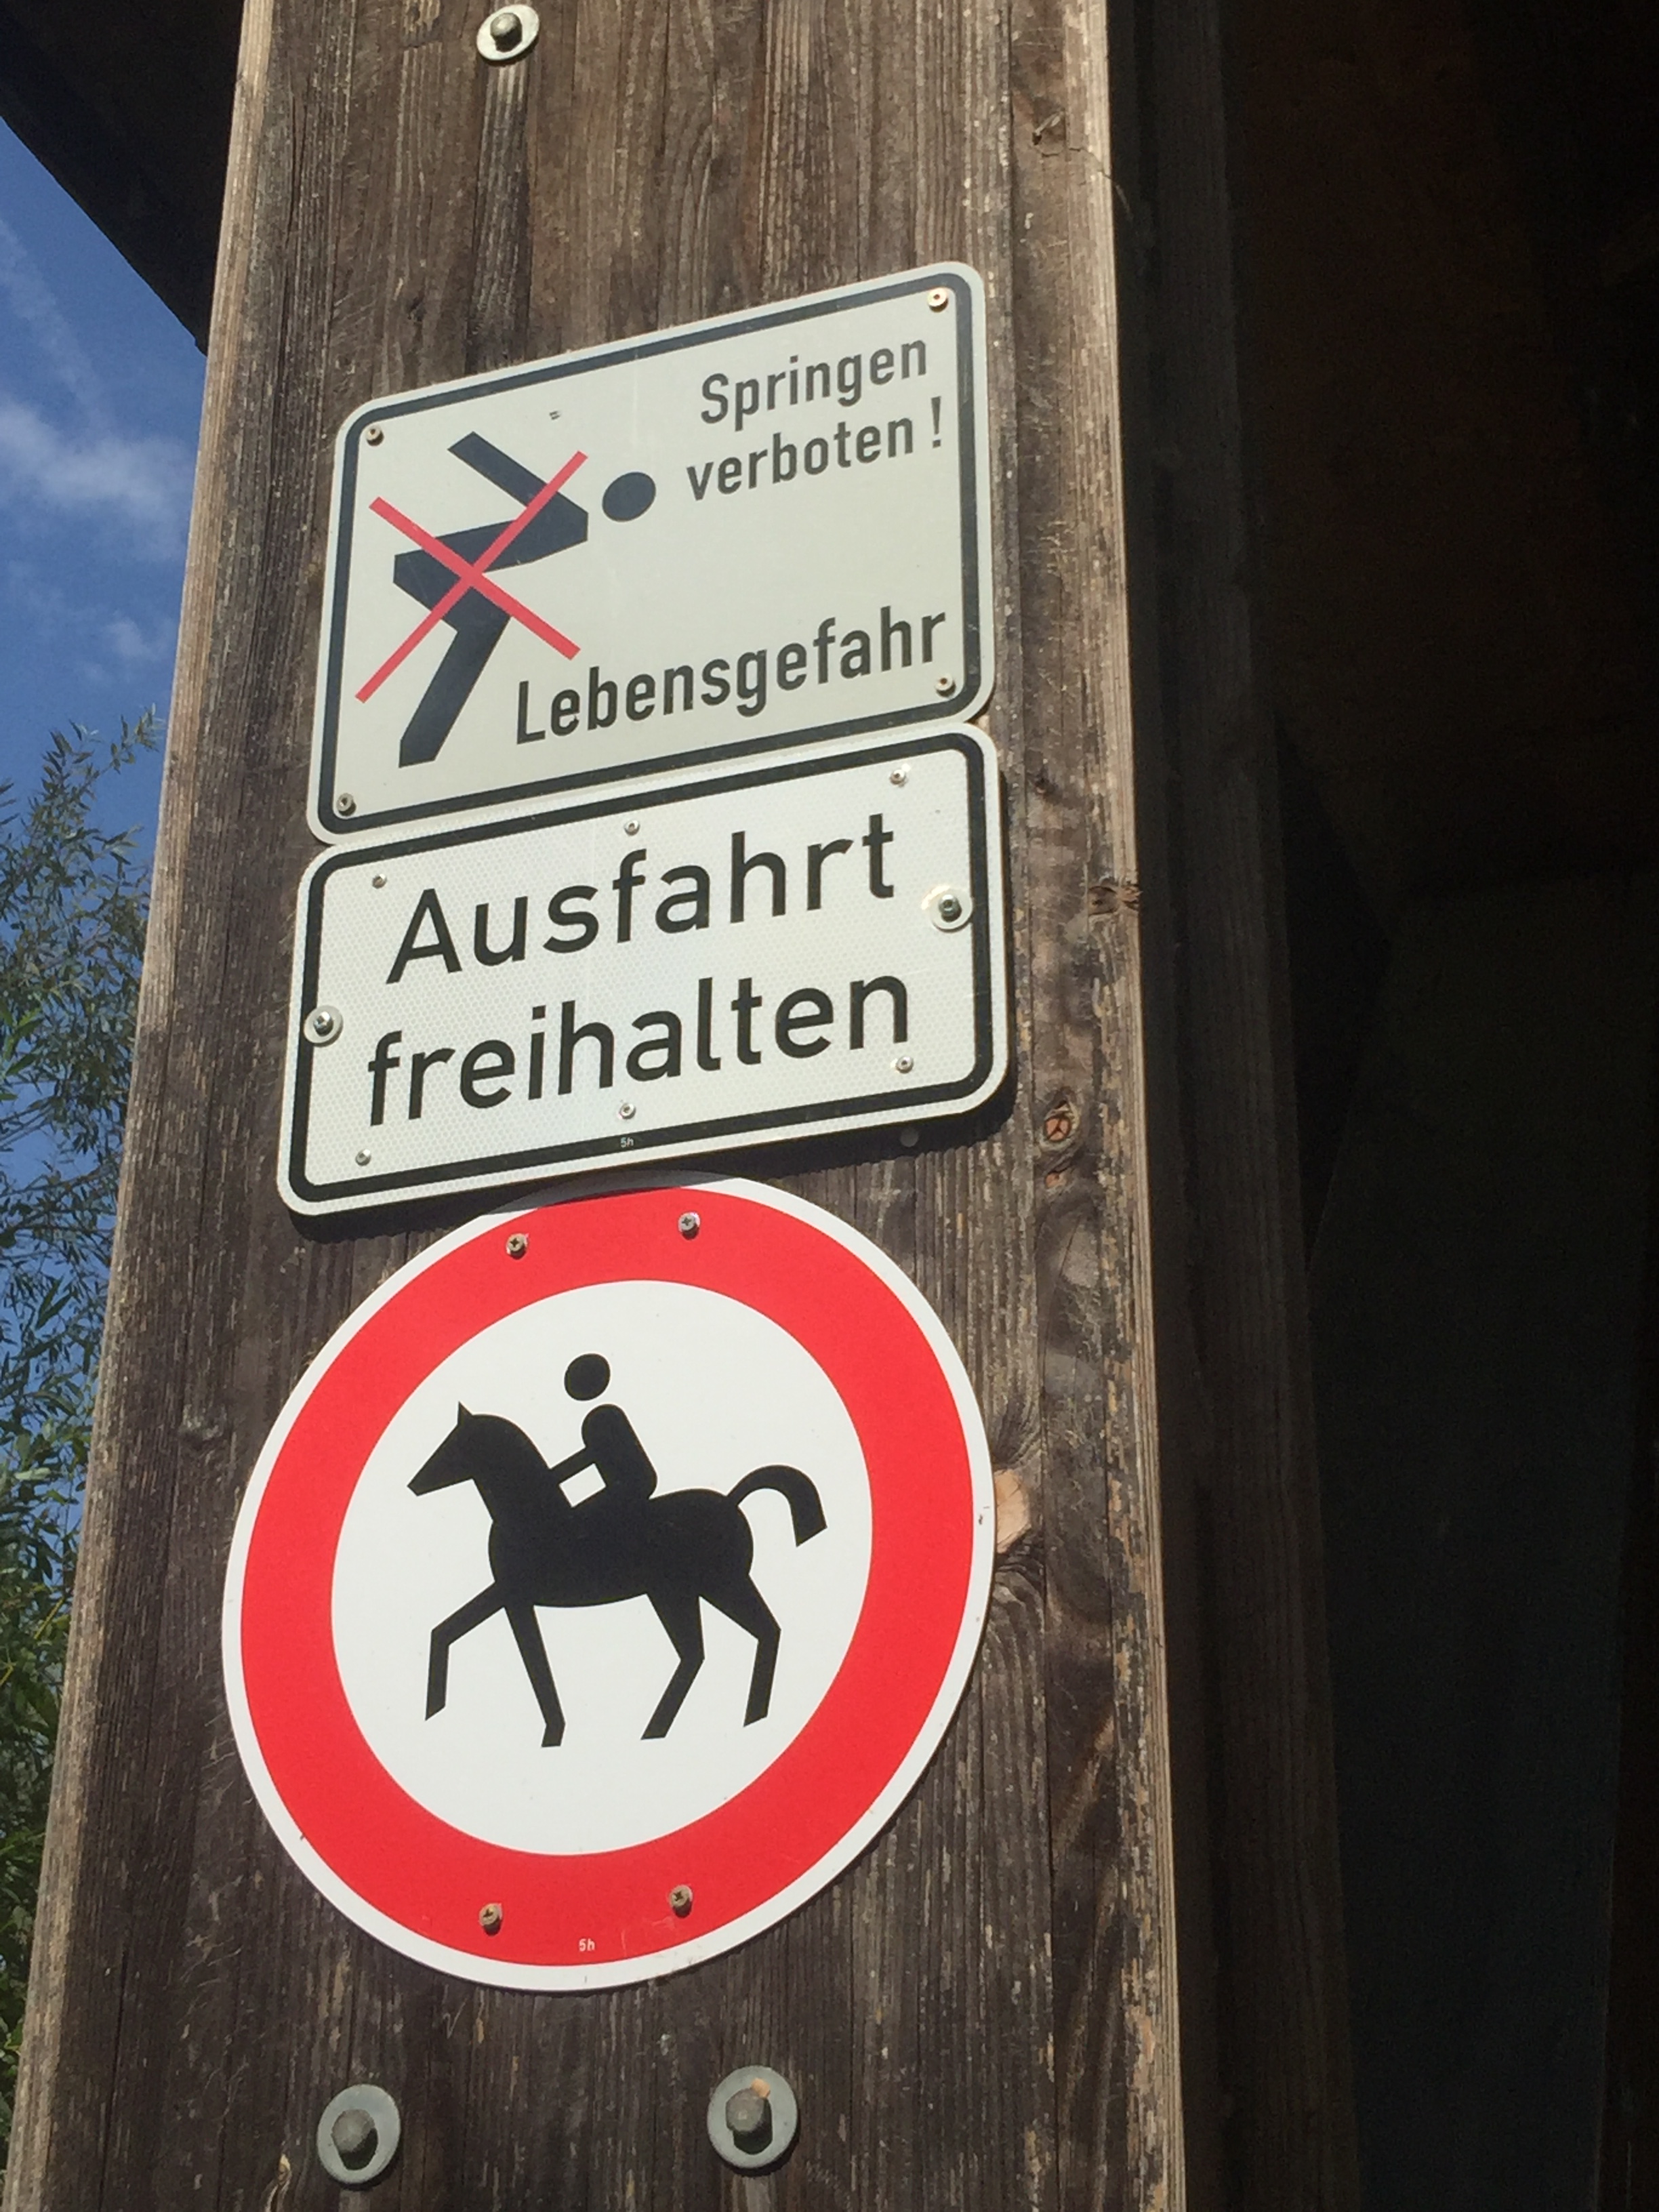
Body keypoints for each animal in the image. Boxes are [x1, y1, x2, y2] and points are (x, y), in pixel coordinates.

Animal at [408, 1405, 827, 1746]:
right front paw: (435, 1701)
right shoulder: (504, 1594)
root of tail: (731, 1500)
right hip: (686, 1592)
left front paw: (553, 1731)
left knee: (735, 1640)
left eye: (451, 1446)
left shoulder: (513, 1597)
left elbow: (534, 1664)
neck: (531, 1515)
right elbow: (450, 1627)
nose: (413, 1485)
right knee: (716, 1646)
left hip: (711, 1587)